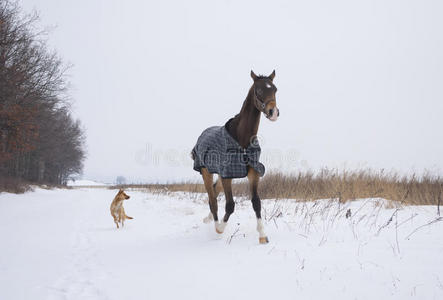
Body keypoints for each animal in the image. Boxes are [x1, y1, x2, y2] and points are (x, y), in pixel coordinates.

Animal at [192, 69, 280, 244]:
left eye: (275, 89)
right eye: (259, 90)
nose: (273, 113)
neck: (242, 140)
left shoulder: (253, 172)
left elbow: (256, 202)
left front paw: (262, 236)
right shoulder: (227, 175)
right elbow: (230, 205)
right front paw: (220, 230)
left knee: (214, 192)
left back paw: (208, 219)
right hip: (206, 171)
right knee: (212, 199)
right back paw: (215, 226)